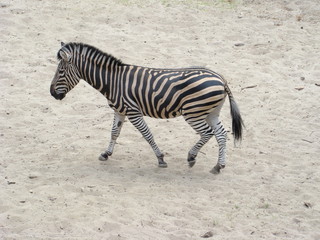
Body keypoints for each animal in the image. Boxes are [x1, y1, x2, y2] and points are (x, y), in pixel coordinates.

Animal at [51, 42, 244, 173]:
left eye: (60, 72)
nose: (52, 93)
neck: (112, 81)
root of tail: (221, 78)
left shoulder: (133, 112)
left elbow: (147, 134)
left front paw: (160, 158)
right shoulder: (119, 110)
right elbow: (114, 133)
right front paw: (106, 153)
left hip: (193, 112)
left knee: (207, 133)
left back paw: (192, 156)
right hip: (211, 112)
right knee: (221, 134)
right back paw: (219, 166)